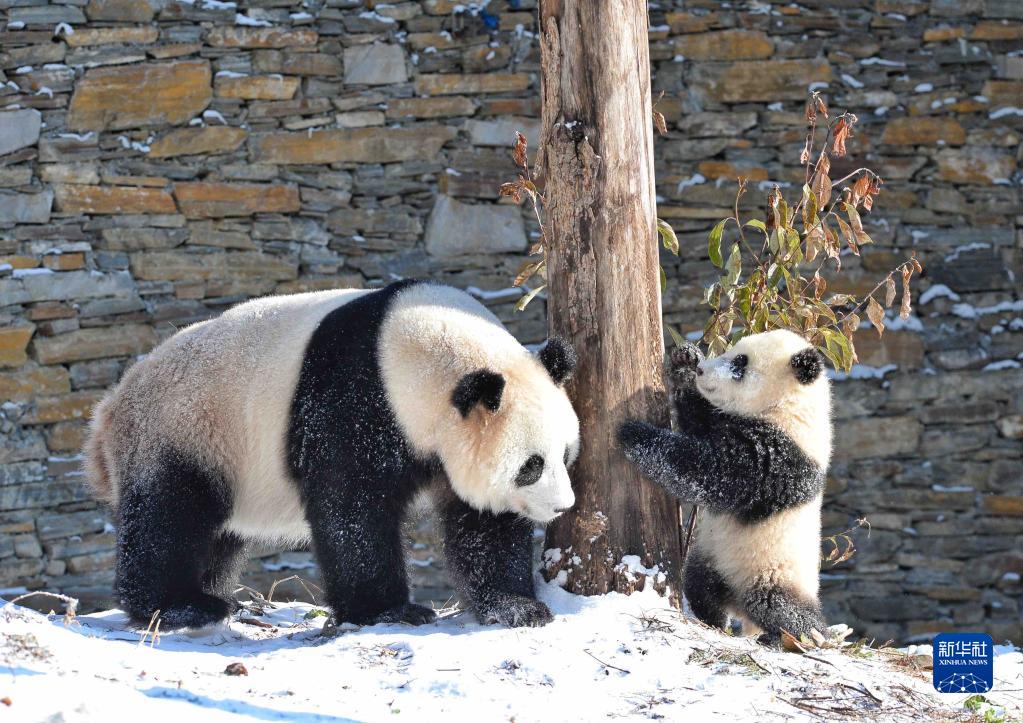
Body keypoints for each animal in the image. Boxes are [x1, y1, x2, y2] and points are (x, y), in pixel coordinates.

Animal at [85, 280, 585, 629]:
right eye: (531, 466)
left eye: (565, 454)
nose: (562, 506)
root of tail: (109, 409)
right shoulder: (355, 401)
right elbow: (350, 508)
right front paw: (390, 610)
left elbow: (484, 525)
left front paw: (516, 607)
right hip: (186, 429)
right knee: (169, 515)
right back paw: (178, 606)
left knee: (215, 535)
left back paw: (209, 596)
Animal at [613, 329, 830, 646]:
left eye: (740, 362)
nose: (703, 370)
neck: (788, 405)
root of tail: (740, 608)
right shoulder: (729, 421)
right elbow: (701, 419)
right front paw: (685, 362)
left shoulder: (779, 458)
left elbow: (711, 472)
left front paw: (634, 434)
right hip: (714, 559)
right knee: (701, 587)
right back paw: (714, 620)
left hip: (772, 571)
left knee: (780, 607)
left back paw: (795, 636)